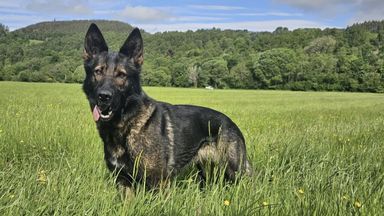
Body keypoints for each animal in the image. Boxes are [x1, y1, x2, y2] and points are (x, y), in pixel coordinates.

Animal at [82, 24, 252, 189]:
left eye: (121, 75)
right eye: (98, 72)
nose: (104, 96)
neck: (128, 124)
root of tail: (231, 123)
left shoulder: (159, 182)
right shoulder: (123, 181)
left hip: (236, 171)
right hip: (205, 171)